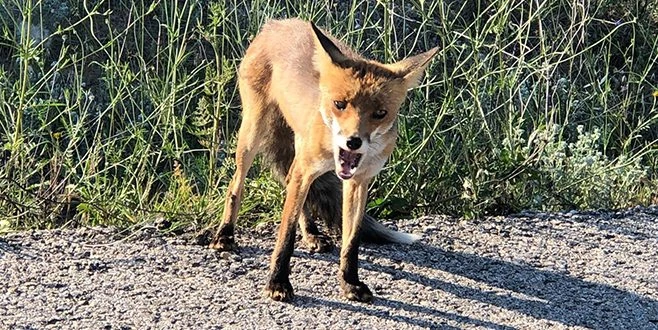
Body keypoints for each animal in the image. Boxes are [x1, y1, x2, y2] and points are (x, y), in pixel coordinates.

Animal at [209, 17, 436, 302]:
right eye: (340, 104)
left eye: (380, 113)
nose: (353, 141)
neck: (332, 151)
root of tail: (278, 23)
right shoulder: (306, 168)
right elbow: (285, 236)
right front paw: (278, 282)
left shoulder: (358, 182)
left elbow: (351, 241)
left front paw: (350, 283)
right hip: (252, 134)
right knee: (236, 185)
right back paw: (225, 234)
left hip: (295, 147)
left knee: (292, 186)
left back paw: (312, 234)